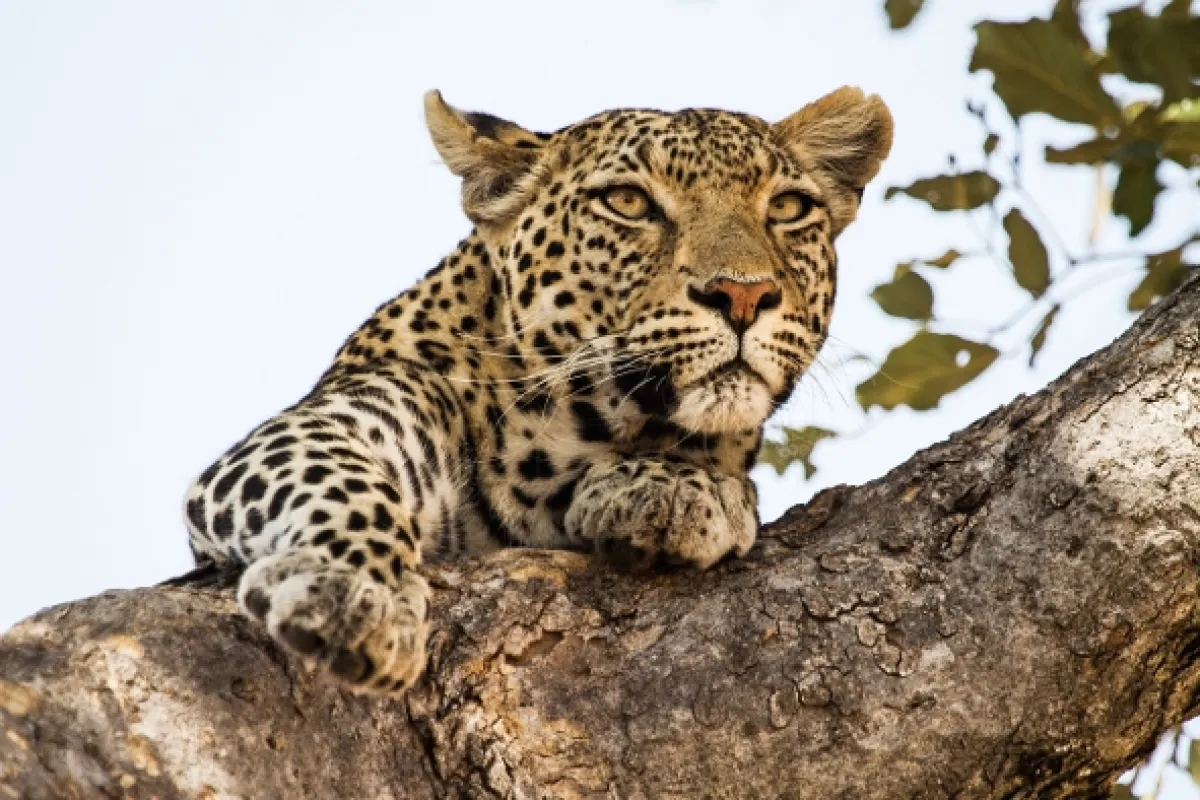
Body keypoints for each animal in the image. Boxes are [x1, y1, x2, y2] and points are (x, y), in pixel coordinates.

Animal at [183, 87, 893, 694]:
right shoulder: (343, 414)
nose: (743, 295)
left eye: (788, 209)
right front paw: (356, 595)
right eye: (628, 202)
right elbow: (330, 475)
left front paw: (677, 486)